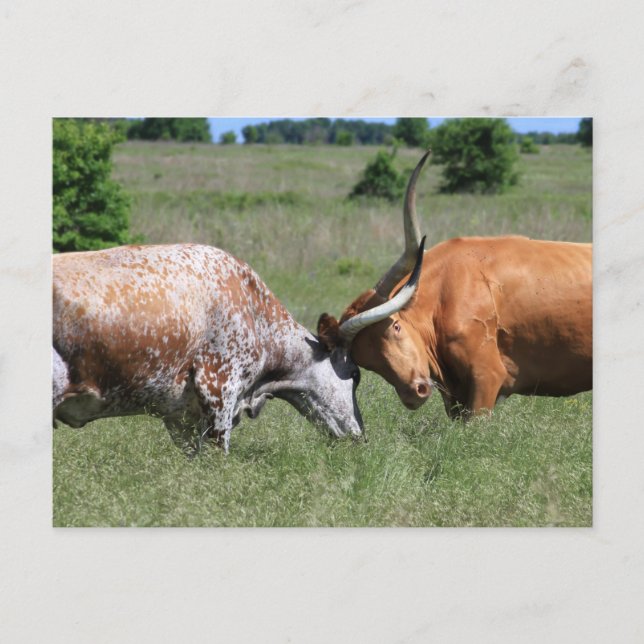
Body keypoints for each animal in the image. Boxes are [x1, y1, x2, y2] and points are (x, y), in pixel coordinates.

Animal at [317, 150, 592, 419]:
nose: (414, 392)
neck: (444, 294)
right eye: (365, 361)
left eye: (395, 326)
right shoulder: (455, 396)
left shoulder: (486, 379)